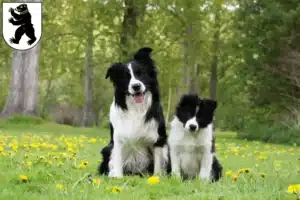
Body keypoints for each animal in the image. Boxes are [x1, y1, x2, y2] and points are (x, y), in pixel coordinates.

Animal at [98, 47, 169, 178]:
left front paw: (156, 178)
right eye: (126, 77)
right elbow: (117, 160)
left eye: (141, 74)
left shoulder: (158, 140)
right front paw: (117, 177)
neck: (137, 108)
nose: (136, 86)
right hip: (107, 149)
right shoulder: (118, 139)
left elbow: (158, 163)